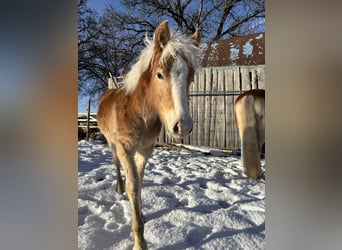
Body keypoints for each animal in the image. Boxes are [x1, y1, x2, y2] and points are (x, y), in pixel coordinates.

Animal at [97, 20, 200, 249]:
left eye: (190, 78)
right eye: (159, 75)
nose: (183, 126)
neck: (137, 113)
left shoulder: (145, 150)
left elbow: (140, 180)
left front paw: (142, 216)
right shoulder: (125, 148)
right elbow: (133, 185)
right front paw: (139, 241)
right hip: (111, 143)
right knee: (116, 164)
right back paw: (119, 188)